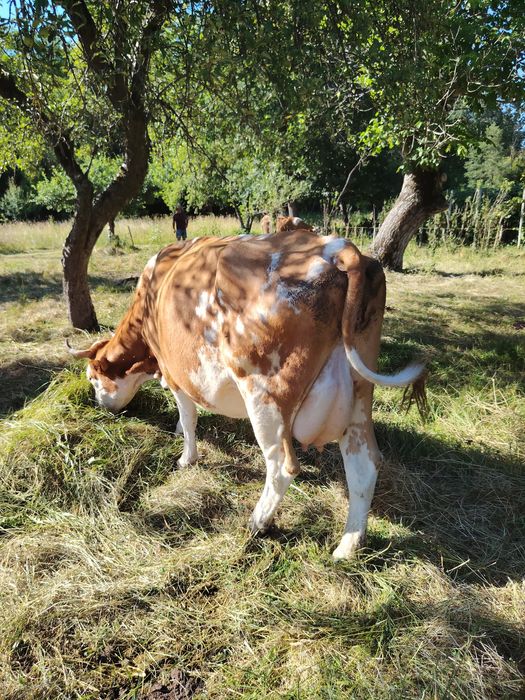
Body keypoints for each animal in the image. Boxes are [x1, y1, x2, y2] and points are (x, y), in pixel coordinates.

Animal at [68, 230, 426, 560]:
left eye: (92, 379)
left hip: (265, 393)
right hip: (359, 398)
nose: (100, 405)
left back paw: (257, 522)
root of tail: (339, 249)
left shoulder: (174, 370)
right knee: (364, 465)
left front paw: (186, 456)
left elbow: (189, 414)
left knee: (282, 466)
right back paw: (347, 548)